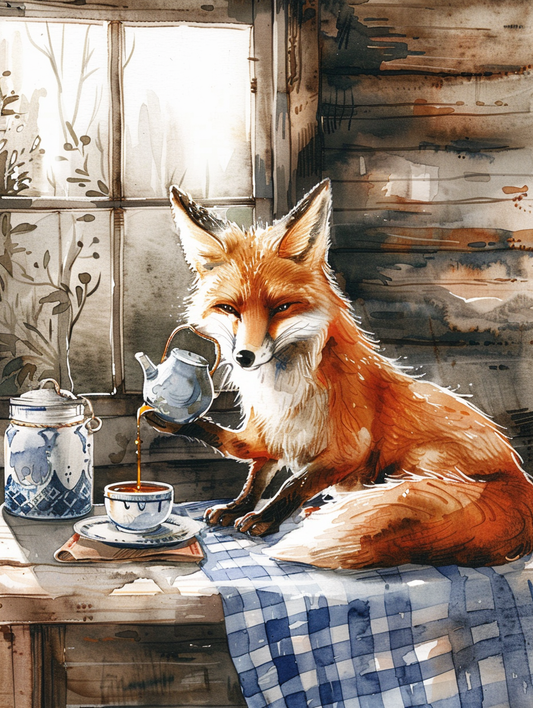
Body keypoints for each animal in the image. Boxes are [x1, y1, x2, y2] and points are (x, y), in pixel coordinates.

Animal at [145, 179, 533, 570]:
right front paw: (232, 500)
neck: (284, 391)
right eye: (229, 308)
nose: (244, 357)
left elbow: (294, 485)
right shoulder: (268, 435)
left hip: (420, 464)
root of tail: (523, 484)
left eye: (281, 307)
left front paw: (264, 519)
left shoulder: (347, 451)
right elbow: (250, 468)